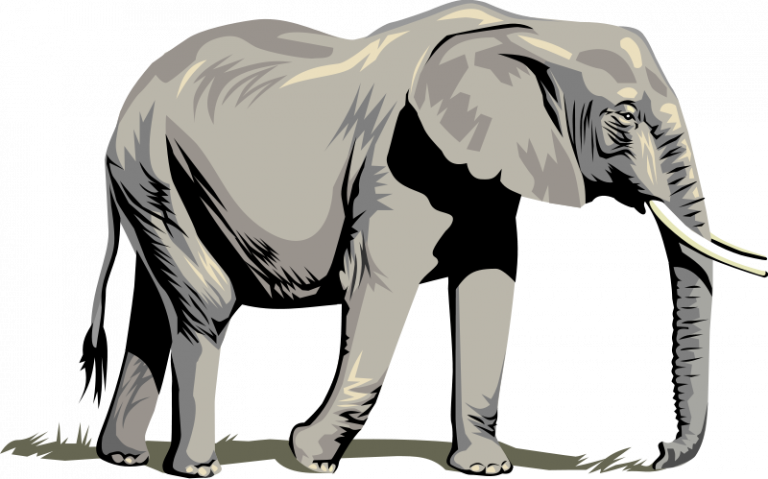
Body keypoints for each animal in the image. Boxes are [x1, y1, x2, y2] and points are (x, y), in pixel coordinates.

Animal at [92, 1, 766, 476]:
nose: (659, 452)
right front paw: (310, 456)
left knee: (144, 301)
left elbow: (489, 288)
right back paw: (198, 467)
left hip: (143, 174)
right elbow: (385, 278)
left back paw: (125, 456)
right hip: (148, 159)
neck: (533, 31)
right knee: (207, 297)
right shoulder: (397, 158)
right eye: (624, 117)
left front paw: (484, 468)